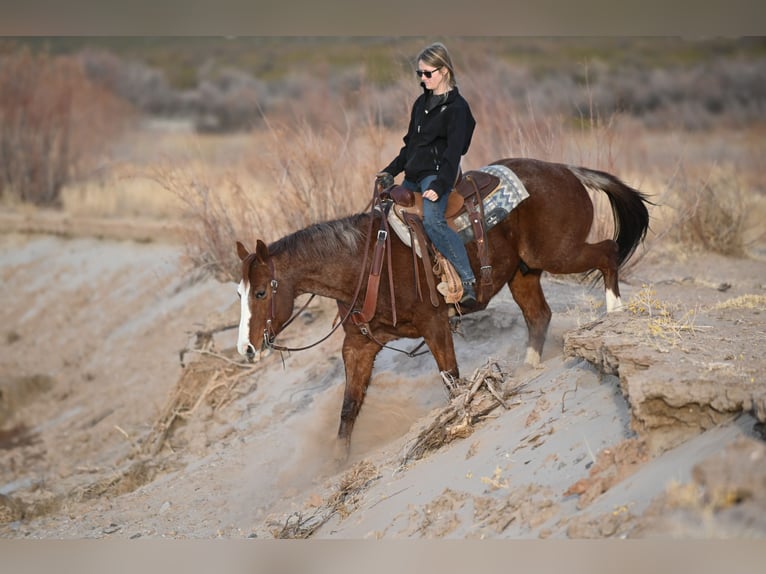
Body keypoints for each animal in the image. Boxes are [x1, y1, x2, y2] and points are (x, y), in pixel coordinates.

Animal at [237, 158, 652, 460]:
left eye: (260, 292)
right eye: (238, 293)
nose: (247, 349)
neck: (365, 261)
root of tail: (566, 170)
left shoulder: (434, 325)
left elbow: (452, 382)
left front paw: (459, 421)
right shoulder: (359, 345)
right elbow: (348, 408)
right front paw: (337, 463)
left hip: (557, 253)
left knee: (607, 253)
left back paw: (615, 314)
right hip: (524, 272)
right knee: (539, 315)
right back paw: (528, 367)